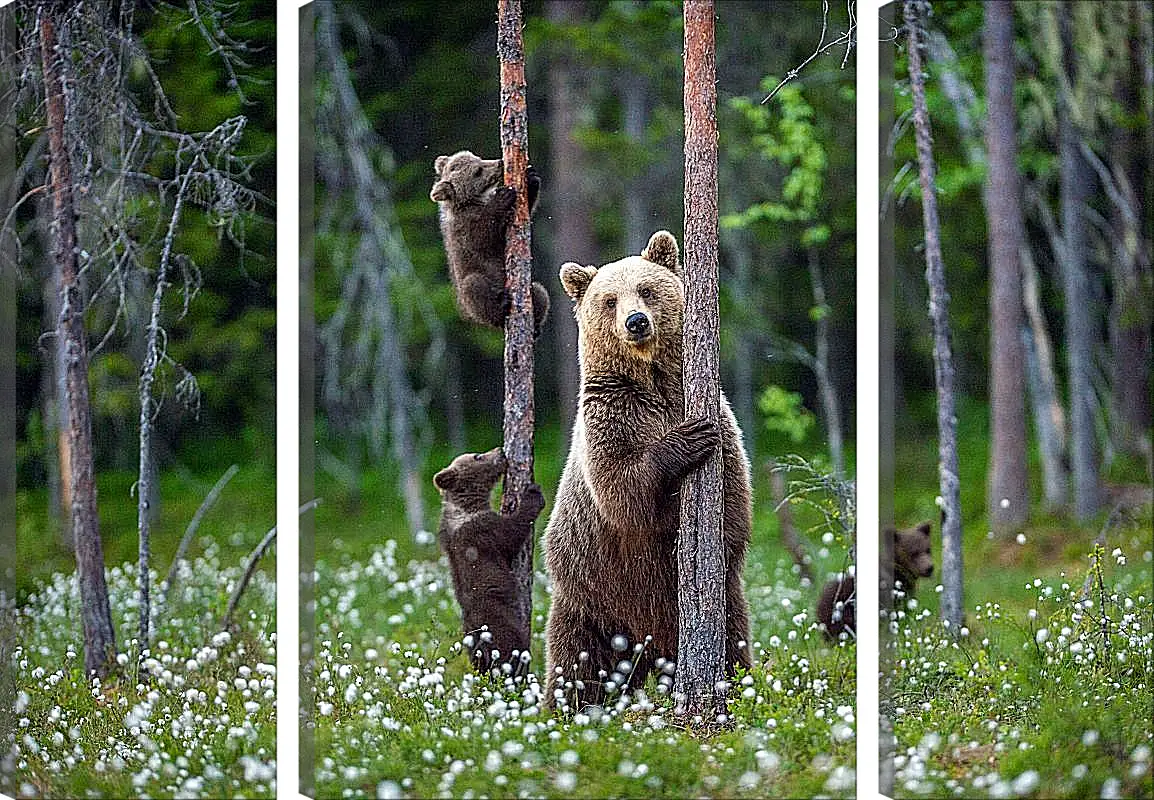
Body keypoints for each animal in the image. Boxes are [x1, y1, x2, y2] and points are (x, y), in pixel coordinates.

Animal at [429, 150, 549, 334]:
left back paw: (536, 326)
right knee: (474, 287)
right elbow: (482, 238)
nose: (500, 162)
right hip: (470, 292)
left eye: (478, 158)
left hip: (531, 289)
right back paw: (501, 305)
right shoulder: (464, 227)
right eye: (477, 171)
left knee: (539, 291)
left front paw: (531, 178)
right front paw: (502, 197)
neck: (472, 202)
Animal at [433, 445, 546, 669]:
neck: (467, 506)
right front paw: (533, 493)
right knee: (511, 650)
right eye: (477, 456)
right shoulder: (483, 531)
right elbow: (511, 533)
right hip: (500, 624)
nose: (500, 450)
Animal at [542, 230, 757, 711]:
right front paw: (687, 440)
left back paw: (736, 687)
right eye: (609, 300)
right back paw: (565, 709)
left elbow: (734, 497)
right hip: (590, 598)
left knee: (733, 642)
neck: (652, 381)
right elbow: (622, 490)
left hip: (723, 605)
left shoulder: (716, 413)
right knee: (575, 663)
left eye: (646, 289)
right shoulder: (611, 417)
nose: (636, 322)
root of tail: (647, 649)